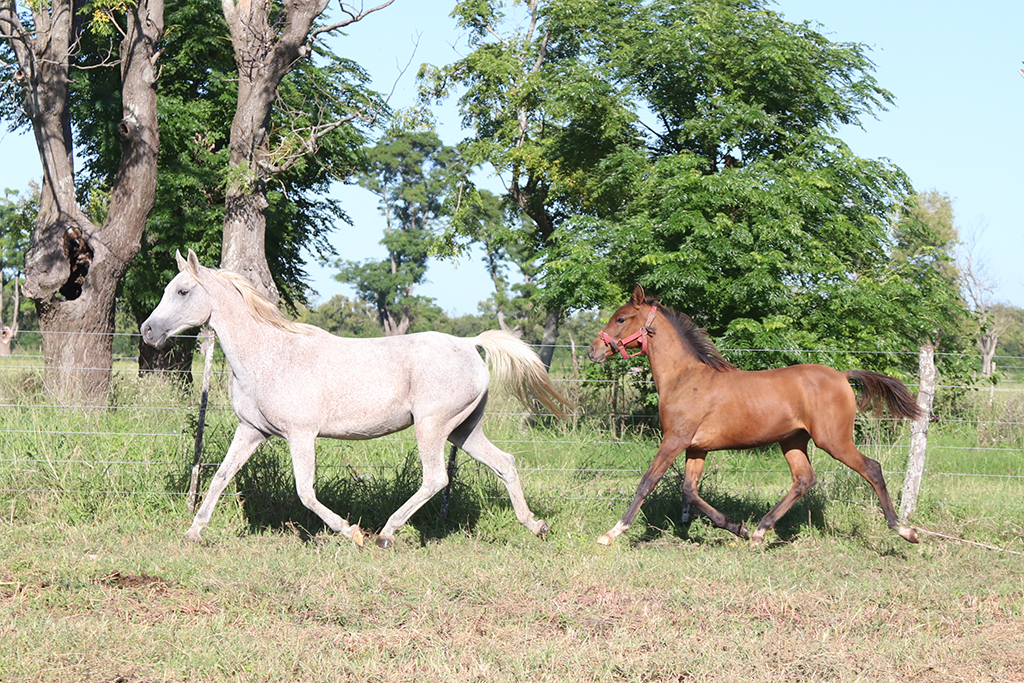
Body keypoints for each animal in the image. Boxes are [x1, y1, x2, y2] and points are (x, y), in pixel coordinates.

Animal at [141, 249, 568, 548]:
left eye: (182, 291)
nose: (147, 331)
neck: (271, 355)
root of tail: (469, 344)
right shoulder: (251, 431)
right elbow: (219, 477)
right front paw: (194, 532)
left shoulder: (301, 435)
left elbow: (305, 492)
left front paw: (351, 532)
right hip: (463, 430)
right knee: (504, 463)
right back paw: (536, 525)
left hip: (431, 427)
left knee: (435, 478)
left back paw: (385, 534)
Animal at [588, 285, 923, 547]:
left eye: (621, 318)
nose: (593, 351)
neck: (684, 378)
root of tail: (842, 375)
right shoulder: (696, 448)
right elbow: (690, 491)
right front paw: (738, 528)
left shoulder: (675, 440)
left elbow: (647, 482)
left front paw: (612, 532)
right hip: (793, 441)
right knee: (804, 479)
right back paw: (760, 531)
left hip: (833, 440)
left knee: (872, 468)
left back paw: (904, 530)